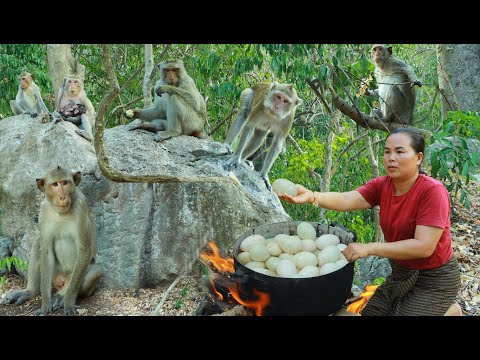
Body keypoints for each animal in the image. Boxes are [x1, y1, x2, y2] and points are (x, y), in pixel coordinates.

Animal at [3, 166, 102, 316]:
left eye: (65, 182)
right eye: (55, 184)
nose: (62, 197)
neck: (61, 213)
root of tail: (62, 279)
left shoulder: (81, 206)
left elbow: (85, 250)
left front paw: (68, 303)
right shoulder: (43, 210)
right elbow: (46, 250)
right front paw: (45, 306)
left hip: (74, 276)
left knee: (95, 271)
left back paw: (61, 297)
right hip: (55, 272)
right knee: (38, 243)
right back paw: (30, 292)